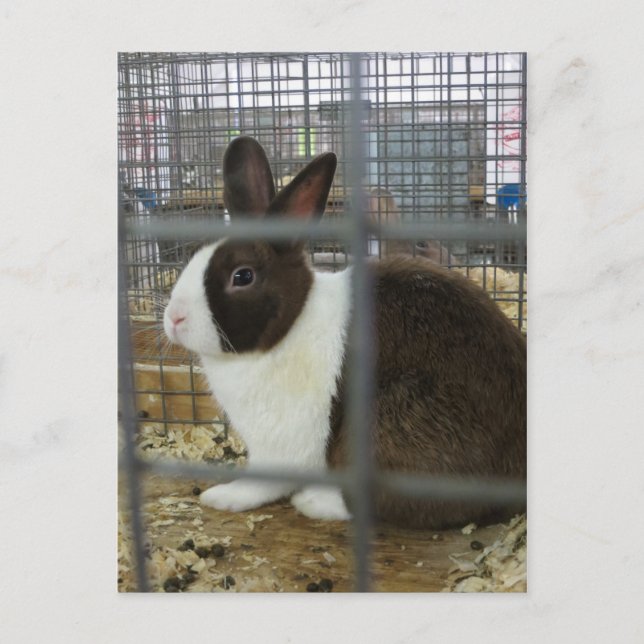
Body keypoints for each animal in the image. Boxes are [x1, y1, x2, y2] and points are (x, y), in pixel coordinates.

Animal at [163, 136, 526, 529]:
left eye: (242, 276)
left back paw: (314, 501)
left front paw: (224, 497)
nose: (174, 318)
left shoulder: (279, 447)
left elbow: (263, 483)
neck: (289, 328)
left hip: (389, 421)